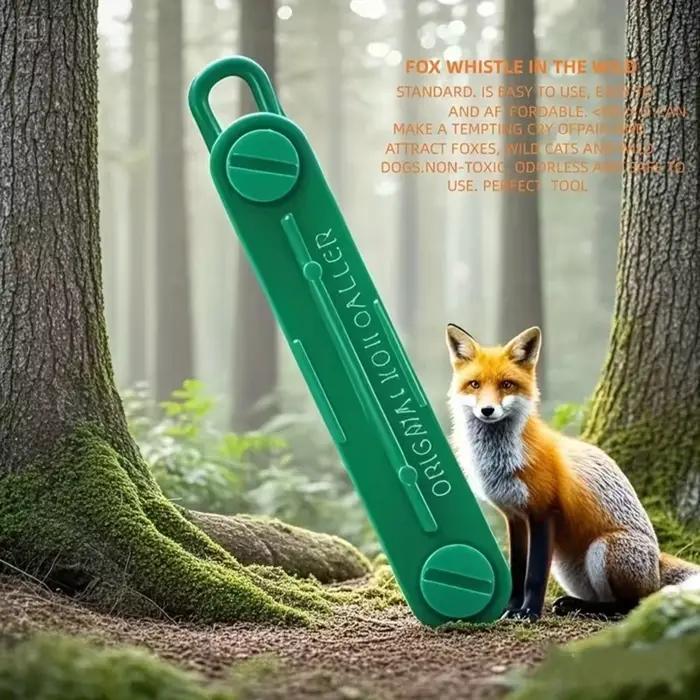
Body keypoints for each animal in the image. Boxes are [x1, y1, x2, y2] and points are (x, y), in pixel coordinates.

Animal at [445, 323, 699, 621]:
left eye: (506, 384)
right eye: (475, 384)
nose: (487, 410)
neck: (501, 461)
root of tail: (658, 561)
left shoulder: (544, 512)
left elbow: (534, 576)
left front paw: (529, 612)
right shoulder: (514, 516)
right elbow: (517, 572)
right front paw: (510, 608)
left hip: (604, 548)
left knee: (631, 604)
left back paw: (592, 609)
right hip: (566, 567)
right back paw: (575, 603)